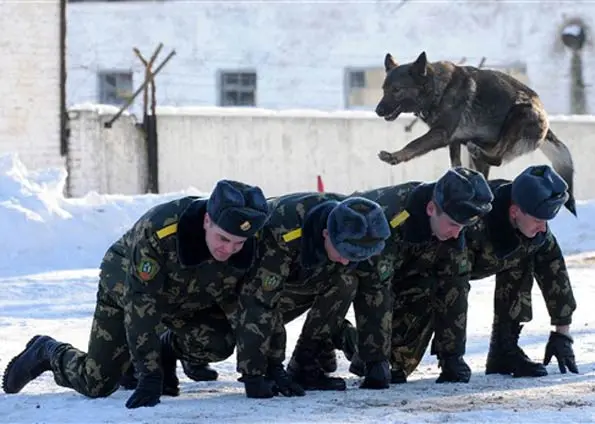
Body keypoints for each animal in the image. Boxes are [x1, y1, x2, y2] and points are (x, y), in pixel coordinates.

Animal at [378, 51, 576, 215]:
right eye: (384, 89)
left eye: (396, 90)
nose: (378, 111)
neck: (436, 89)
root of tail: (545, 120)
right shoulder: (454, 141)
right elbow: (455, 164)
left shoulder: (441, 133)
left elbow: (414, 143)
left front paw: (394, 156)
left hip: (518, 113)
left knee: (497, 158)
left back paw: (479, 152)